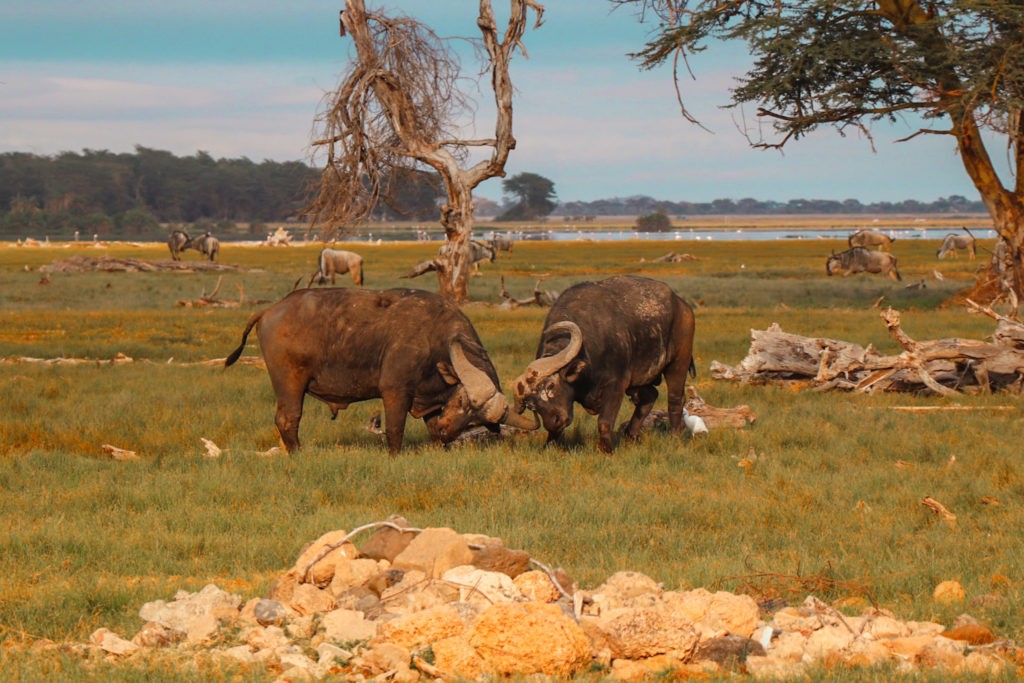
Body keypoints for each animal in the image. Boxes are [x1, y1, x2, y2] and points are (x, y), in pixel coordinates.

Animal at [223, 288, 536, 454]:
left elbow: (431, 427)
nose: (449, 430)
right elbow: (395, 429)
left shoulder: (430, 400)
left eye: (475, 420)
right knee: (288, 419)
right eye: (462, 402)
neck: (435, 338)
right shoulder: (396, 391)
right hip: (290, 383)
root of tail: (270, 310)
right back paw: (298, 453)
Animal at [512, 272, 696, 454]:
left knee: (675, 400)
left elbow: (604, 421)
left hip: (678, 363)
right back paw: (631, 435)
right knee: (650, 396)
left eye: (551, 386)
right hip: (639, 381)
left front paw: (606, 449)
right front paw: (549, 445)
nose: (554, 421)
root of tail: (682, 305)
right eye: (531, 405)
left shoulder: (616, 385)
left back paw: (674, 437)